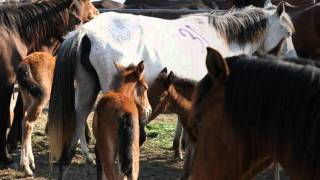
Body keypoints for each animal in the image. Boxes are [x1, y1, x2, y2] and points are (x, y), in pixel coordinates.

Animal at [47, 2, 296, 179]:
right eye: (288, 33)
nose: (295, 61)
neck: (220, 40)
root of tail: (84, 32)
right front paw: (183, 148)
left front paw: (178, 148)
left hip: (87, 92)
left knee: (74, 135)